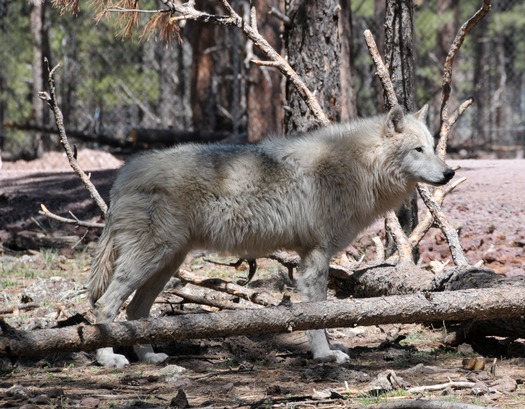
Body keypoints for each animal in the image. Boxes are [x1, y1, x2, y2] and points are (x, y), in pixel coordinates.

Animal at [87, 104, 454, 366]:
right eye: (418, 150)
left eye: (433, 147)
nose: (450, 172)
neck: (357, 165)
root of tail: (124, 174)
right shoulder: (317, 255)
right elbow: (317, 314)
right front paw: (324, 355)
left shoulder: (311, 256)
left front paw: (326, 349)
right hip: (151, 260)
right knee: (105, 305)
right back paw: (108, 359)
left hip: (166, 263)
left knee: (136, 312)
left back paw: (149, 357)